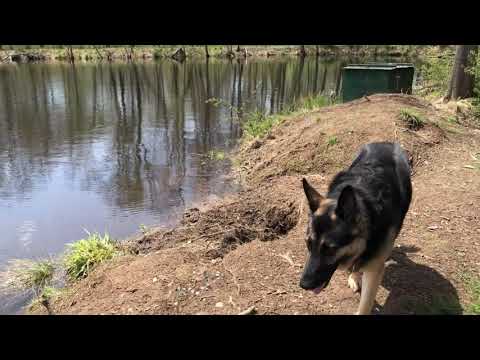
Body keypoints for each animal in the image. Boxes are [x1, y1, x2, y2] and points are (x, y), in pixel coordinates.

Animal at [298, 142, 410, 314]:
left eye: (330, 249)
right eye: (308, 244)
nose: (303, 285)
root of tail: (385, 142)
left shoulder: (374, 271)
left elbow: (365, 304)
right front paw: (353, 274)